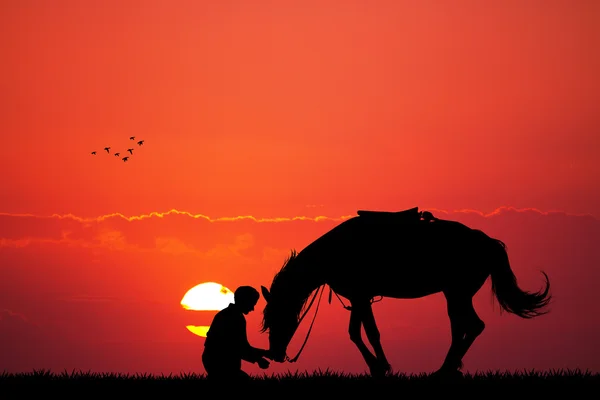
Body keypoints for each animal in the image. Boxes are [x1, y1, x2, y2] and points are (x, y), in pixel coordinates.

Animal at [260, 208, 552, 376]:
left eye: (277, 317)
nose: (274, 354)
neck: (334, 253)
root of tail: (487, 241)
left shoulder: (361, 297)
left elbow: (368, 333)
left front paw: (381, 366)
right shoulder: (359, 298)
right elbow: (358, 332)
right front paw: (377, 366)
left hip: (458, 293)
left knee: (472, 326)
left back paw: (444, 370)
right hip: (455, 294)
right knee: (461, 327)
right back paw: (448, 368)